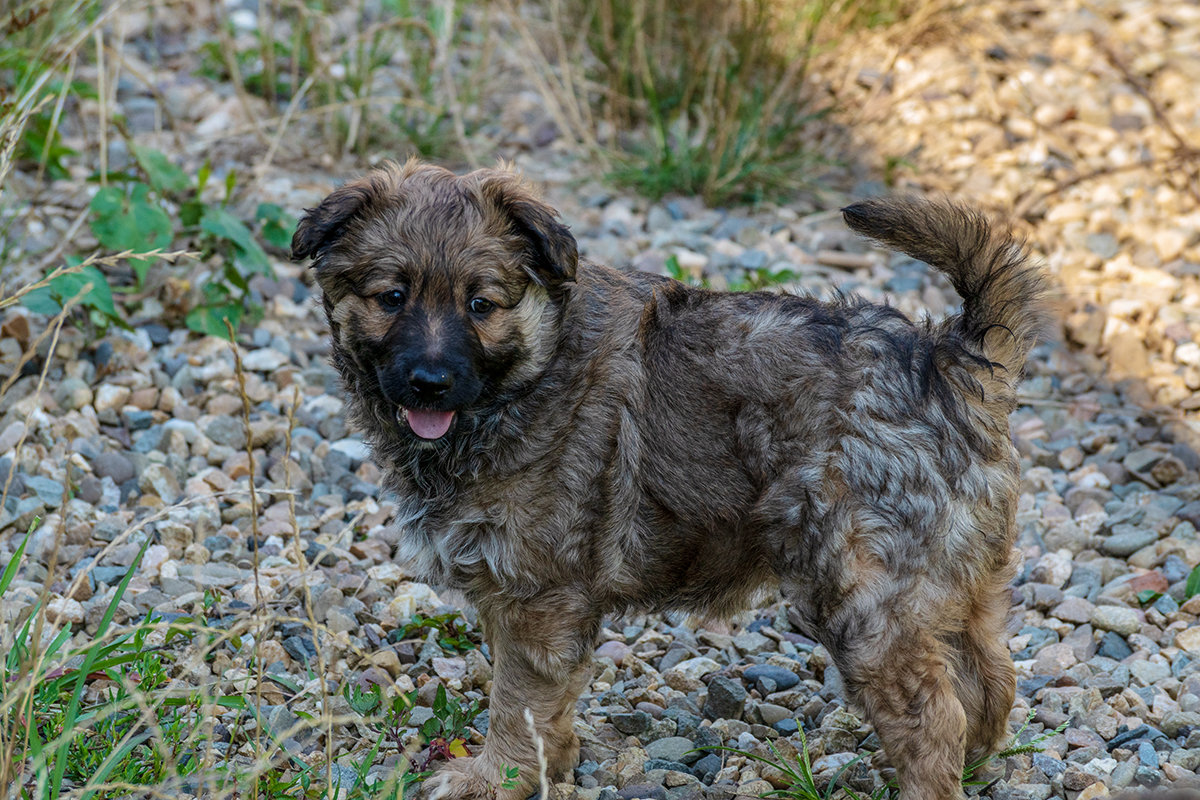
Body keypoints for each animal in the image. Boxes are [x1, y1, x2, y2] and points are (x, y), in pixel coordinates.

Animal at [292, 160, 1051, 800]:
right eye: (392, 297)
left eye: (481, 305)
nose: (429, 381)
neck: (529, 377)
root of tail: (948, 361)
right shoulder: (516, 591)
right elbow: (542, 702)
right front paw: (552, 765)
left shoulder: (538, 594)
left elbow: (517, 700)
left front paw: (494, 777)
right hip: (956, 580)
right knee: (989, 684)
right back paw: (975, 763)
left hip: (864, 593)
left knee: (932, 715)